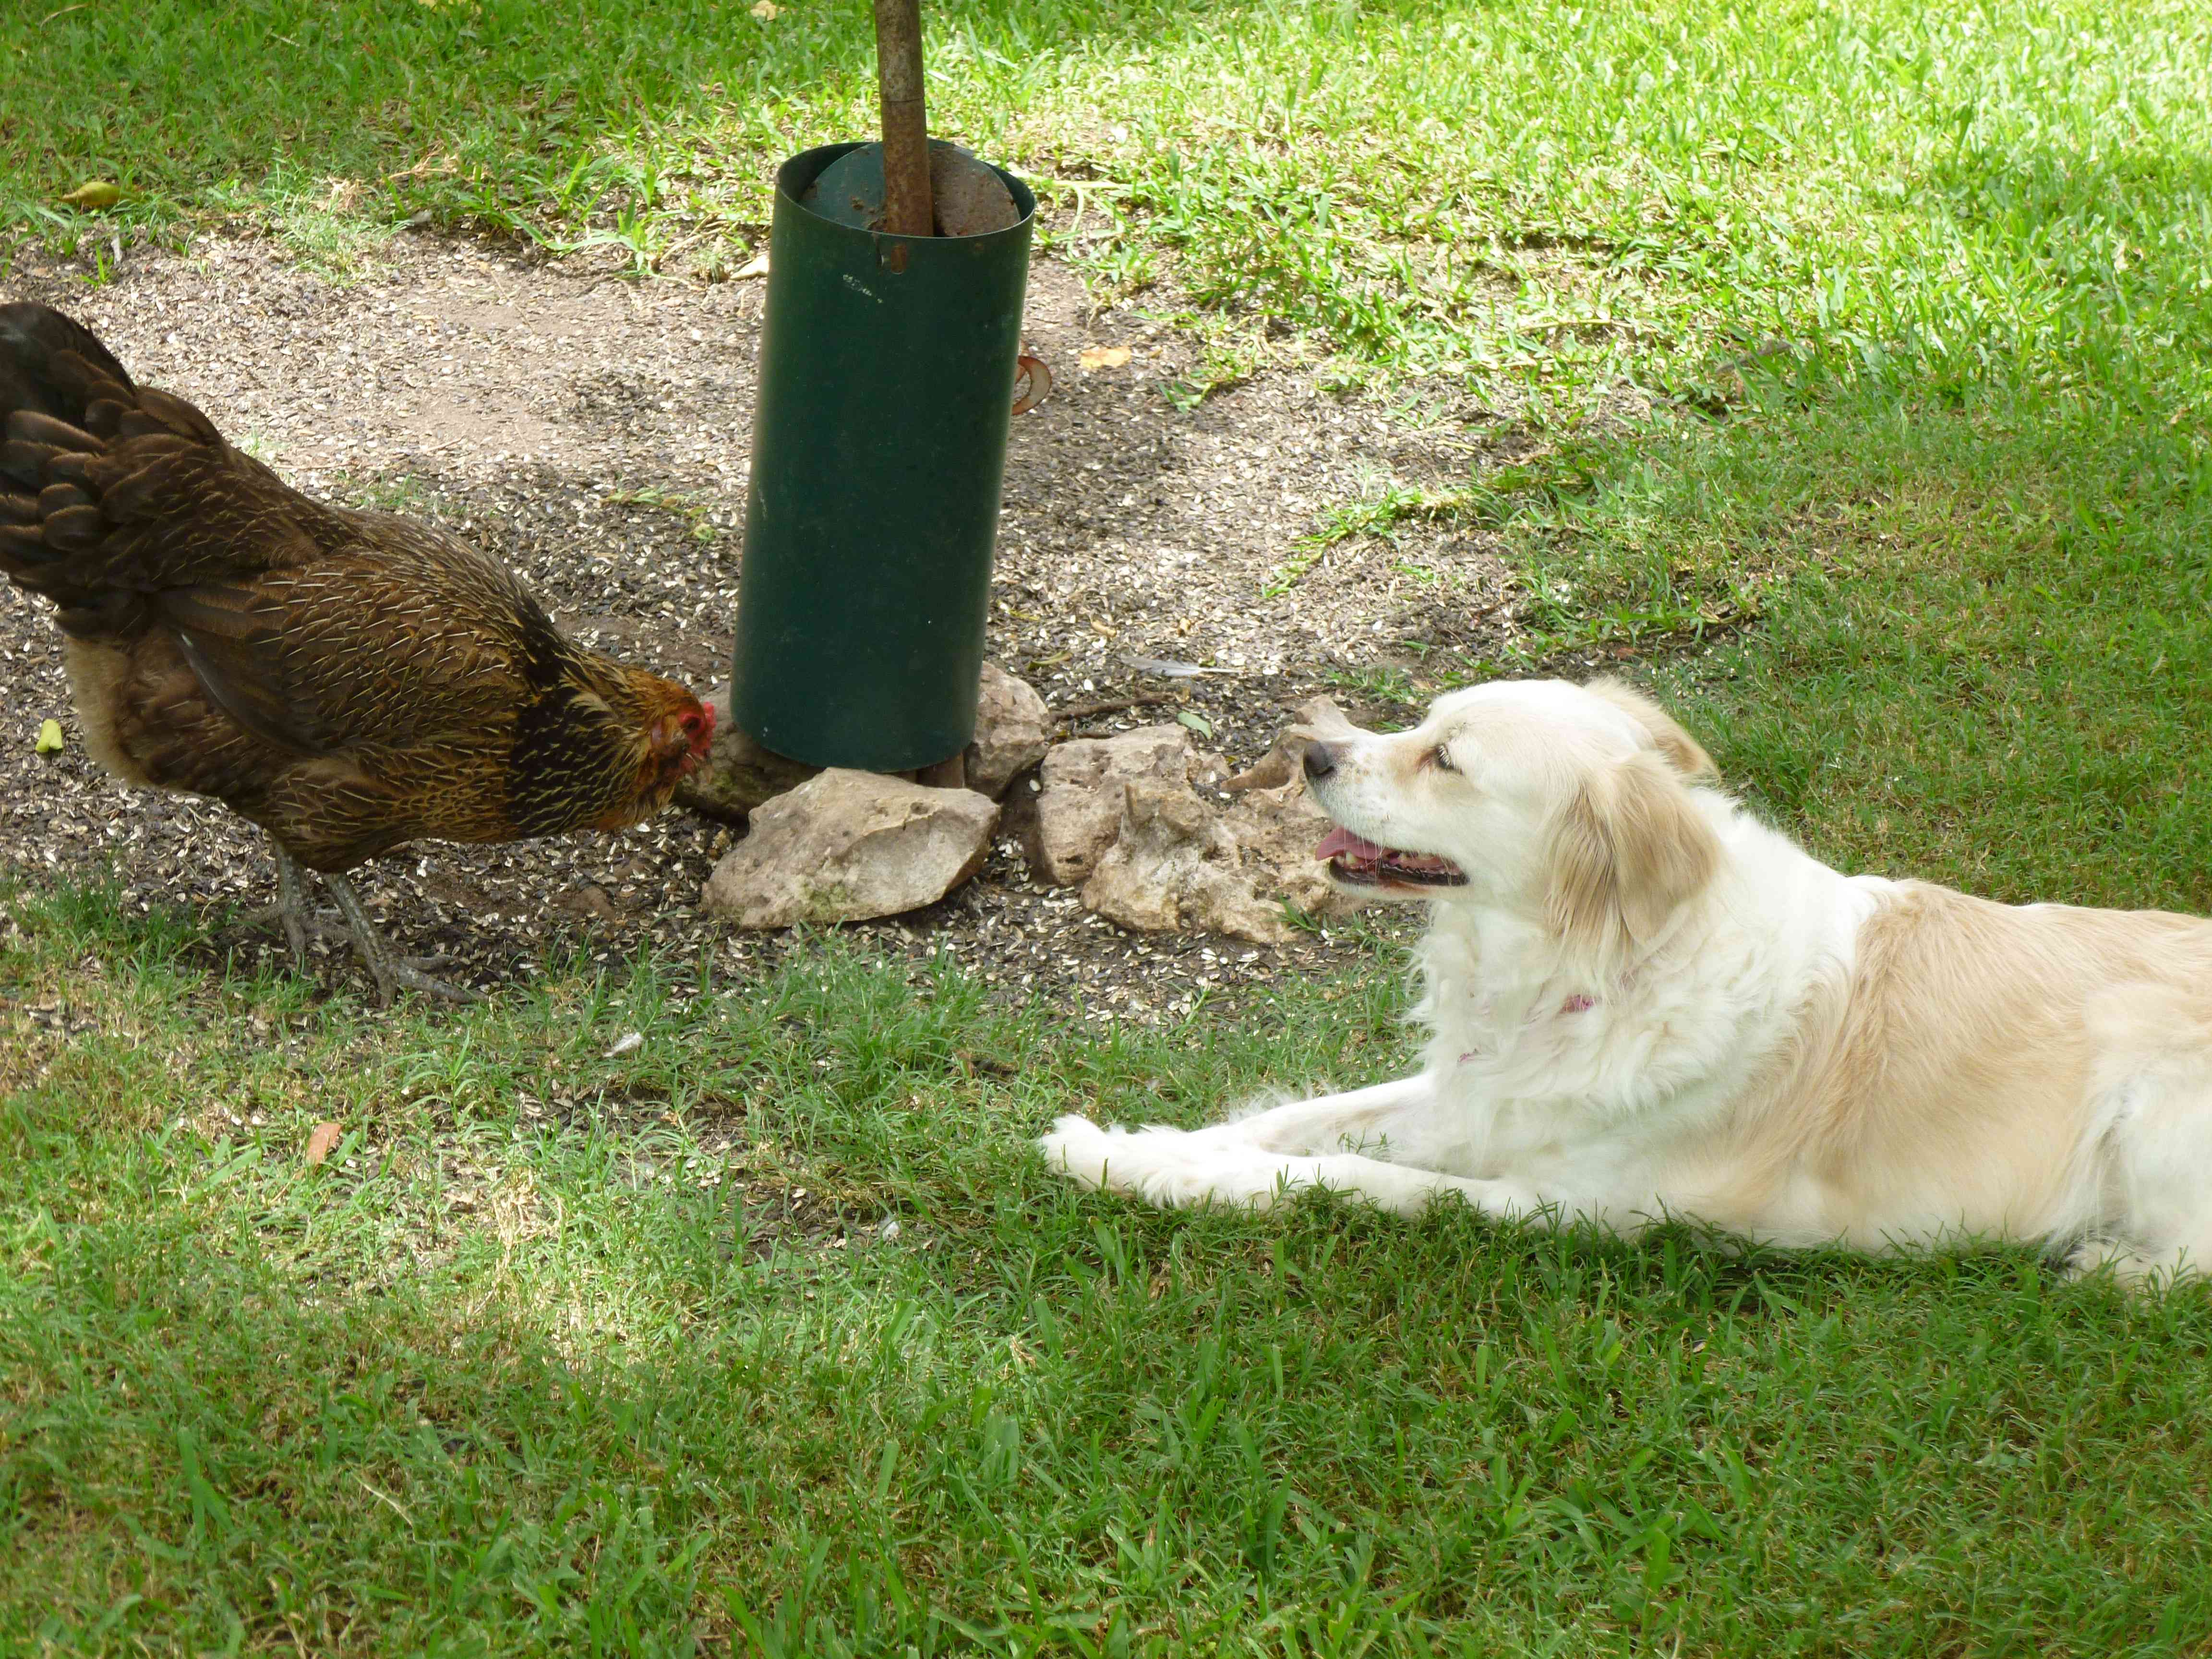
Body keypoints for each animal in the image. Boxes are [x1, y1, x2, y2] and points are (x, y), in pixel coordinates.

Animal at [1044, 677, 2212, 1283]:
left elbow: (1345, 1179)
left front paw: (1177, 1175)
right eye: (1419, 722)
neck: (1593, 970)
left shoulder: (1568, 1207)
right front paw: (1128, 1149)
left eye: (1447, 759)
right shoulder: (1476, 1093)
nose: (1313, 756)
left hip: (2154, 1105)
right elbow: (1292, 1123)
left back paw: (2107, 1267)